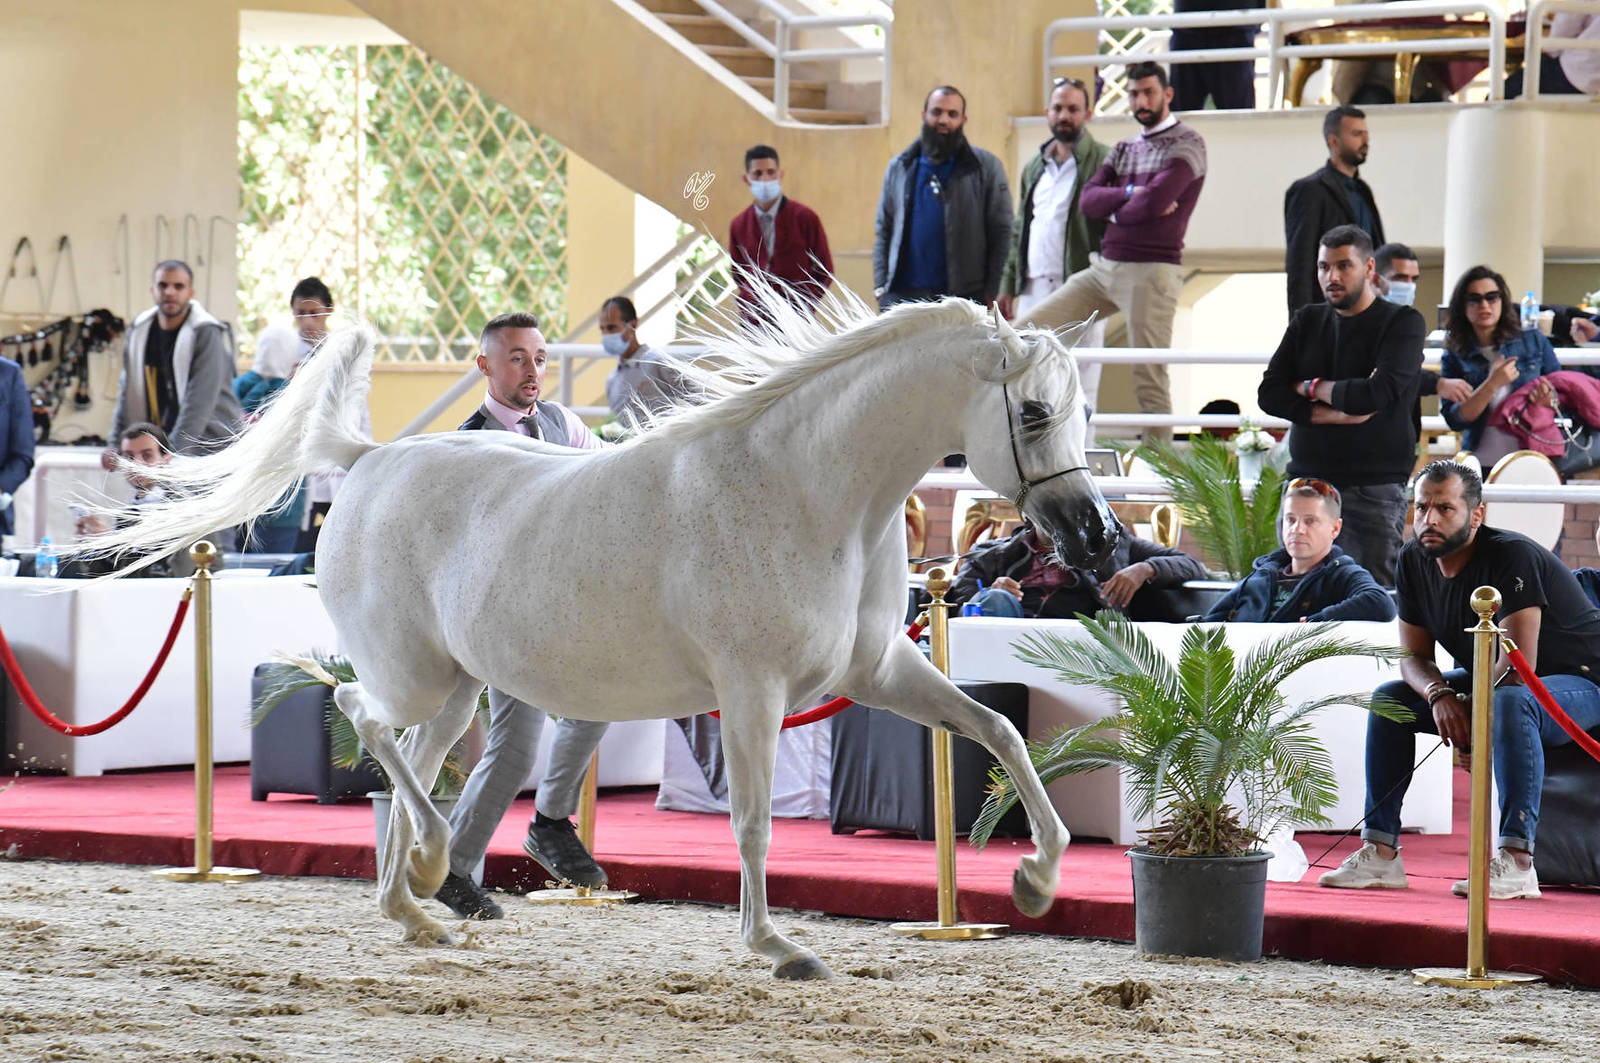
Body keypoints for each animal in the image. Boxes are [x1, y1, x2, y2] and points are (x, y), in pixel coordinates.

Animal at [86, 291, 1118, 980]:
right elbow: (751, 820)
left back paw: (414, 908)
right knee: (360, 711)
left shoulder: (881, 669)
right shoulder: (751, 690)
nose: (1096, 536)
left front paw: (1034, 879)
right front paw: (777, 945)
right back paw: (430, 868)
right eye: (1034, 410)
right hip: (414, 673)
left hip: (456, 684)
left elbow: (999, 731)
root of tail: (367, 459)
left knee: (409, 753)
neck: (806, 489)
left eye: (1082, 409)